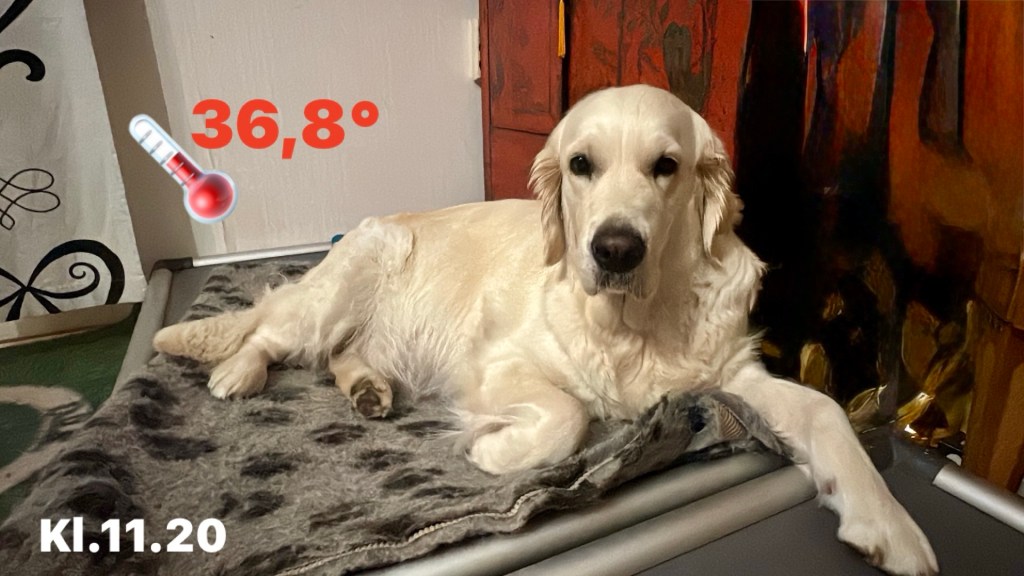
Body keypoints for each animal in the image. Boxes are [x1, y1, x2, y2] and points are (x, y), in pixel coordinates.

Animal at [153, 85, 937, 575]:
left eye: (667, 166)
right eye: (580, 164)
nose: (616, 250)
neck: (635, 323)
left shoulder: (733, 375)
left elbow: (827, 410)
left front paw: (889, 525)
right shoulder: (498, 363)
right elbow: (568, 414)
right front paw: (495, 452)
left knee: (340, 355)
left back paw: (370, 390)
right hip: (340, 287)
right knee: (272, 327)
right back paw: (237, 371)